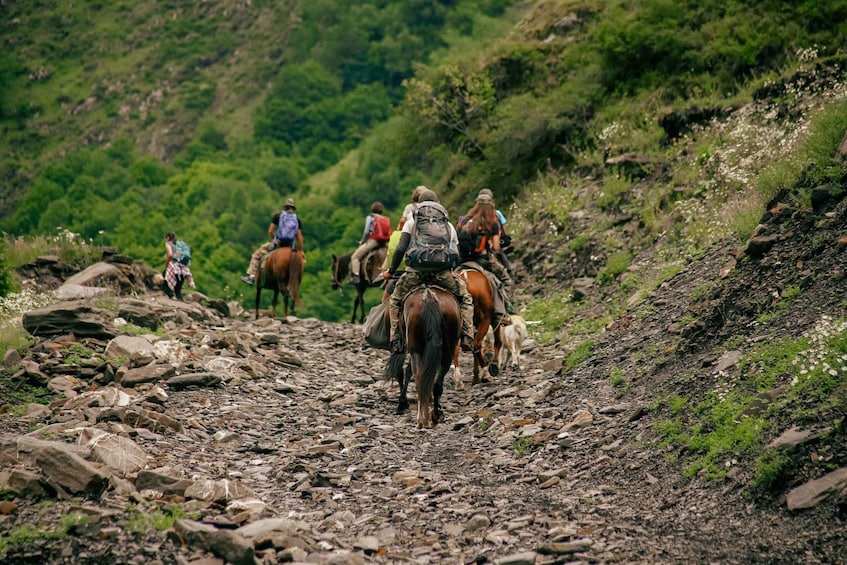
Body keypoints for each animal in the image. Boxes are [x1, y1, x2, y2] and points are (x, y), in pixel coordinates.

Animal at [386, 286, 460, 428]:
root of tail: (429, 297)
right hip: (446, 352)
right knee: (435, 384)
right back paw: (433, 416)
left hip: (417, 351)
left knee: (419, 378)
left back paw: (422, 418)